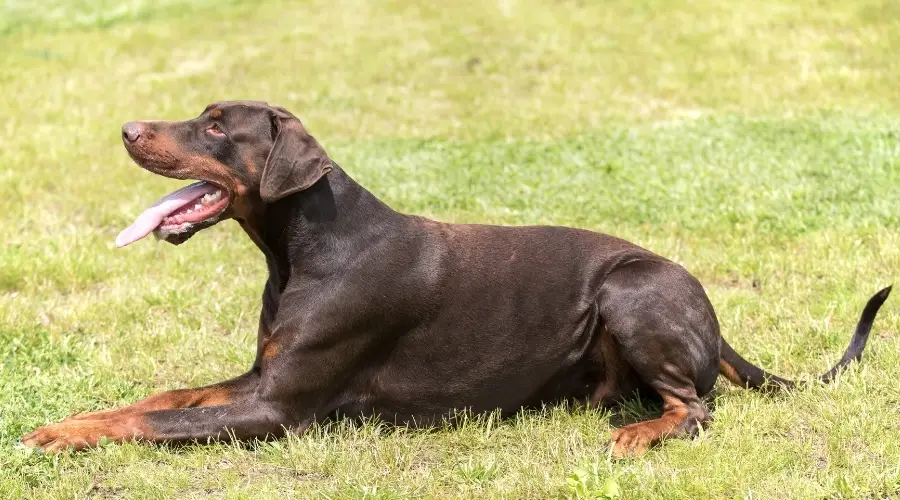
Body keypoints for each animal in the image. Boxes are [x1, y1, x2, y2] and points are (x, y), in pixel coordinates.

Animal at [22, 101, 892, 458]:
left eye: (212, 126)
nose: (126, 129)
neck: (304, 244)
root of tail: (710, 309)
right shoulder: (260, 376)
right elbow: (162, 396)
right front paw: (68, 420)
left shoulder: (278, 407)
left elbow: (155, 421)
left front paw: (67, 435)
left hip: (631, 288)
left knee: (697, 406)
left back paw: (641, 432)